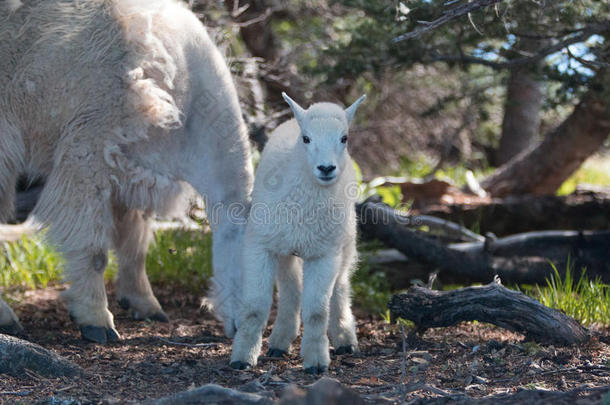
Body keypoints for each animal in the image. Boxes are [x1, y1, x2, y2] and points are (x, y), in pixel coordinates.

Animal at [0, 0, 252, 340]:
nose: (247, 329)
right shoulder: (88, 151)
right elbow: (94, 248)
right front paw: (96, 320)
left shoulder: (131, 169)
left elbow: (135, 244)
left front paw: (145, 304)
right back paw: (7, 317)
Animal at [227, 91, 360, 372]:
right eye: (306, 138)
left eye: (344, 138)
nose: (326, 168)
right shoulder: (260, 246)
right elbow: (255, 307)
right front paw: (242, 358)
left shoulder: (324, 254)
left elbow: (317, 311)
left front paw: (317, 361)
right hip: (285, 249)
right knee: (291, 291)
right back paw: (279, 341)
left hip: (344, 241)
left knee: (340, 286)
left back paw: (344, 337)